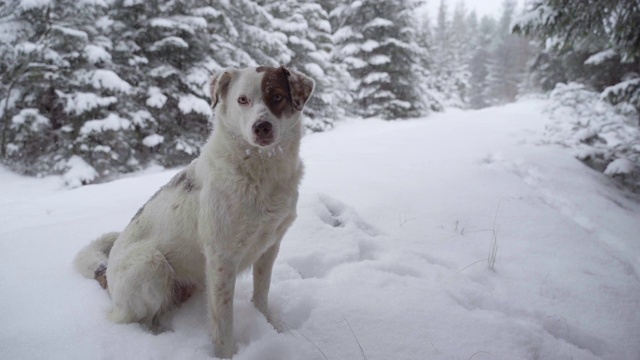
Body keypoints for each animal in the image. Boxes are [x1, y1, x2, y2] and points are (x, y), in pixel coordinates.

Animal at [75, 64, 316, 358]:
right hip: (151, 265)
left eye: (277, 96)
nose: (262, 127)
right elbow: (222, 323)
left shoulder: (269, 247)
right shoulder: (221, 258)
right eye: (242, 100)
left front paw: (270, 326)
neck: (260, 171)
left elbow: (261, 295)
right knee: (136, 319)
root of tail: (105, 272)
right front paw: (227, 354)